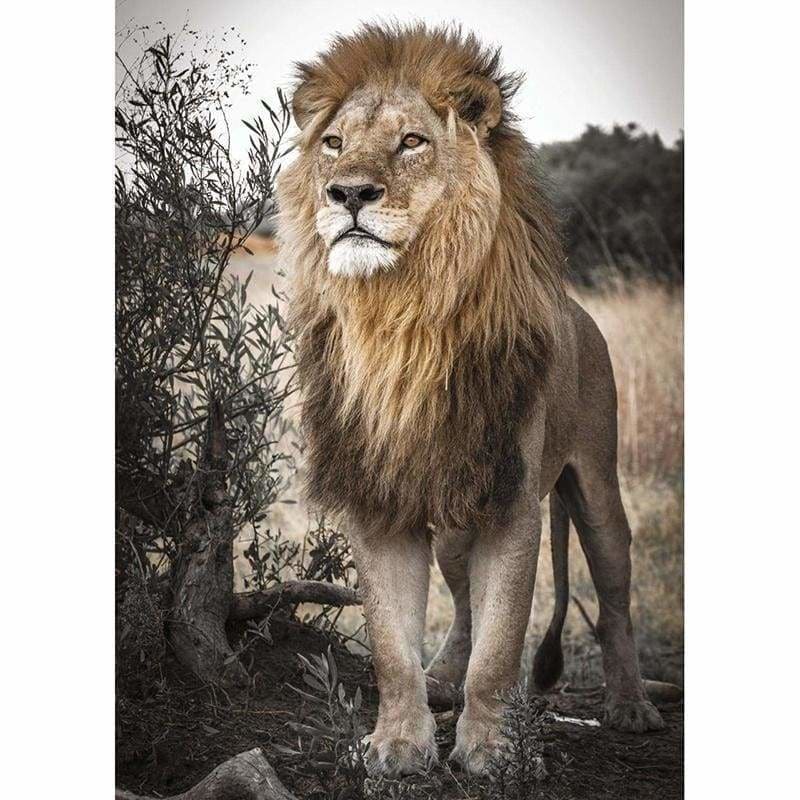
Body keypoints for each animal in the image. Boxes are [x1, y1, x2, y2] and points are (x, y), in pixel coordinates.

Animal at [277, 23, 665, 777]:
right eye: (333, 143)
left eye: (411, 141)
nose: (348, 193)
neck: (401, 316)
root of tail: (581, 312)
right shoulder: (381, 500)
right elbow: (393, 646)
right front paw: (398, 744)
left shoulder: (511, 507)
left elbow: (501, 642)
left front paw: (490, 749)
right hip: (457, 520)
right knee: (459, 606)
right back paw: (441, 679)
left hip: (595, 488)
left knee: (614, 599)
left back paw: (630, 705)